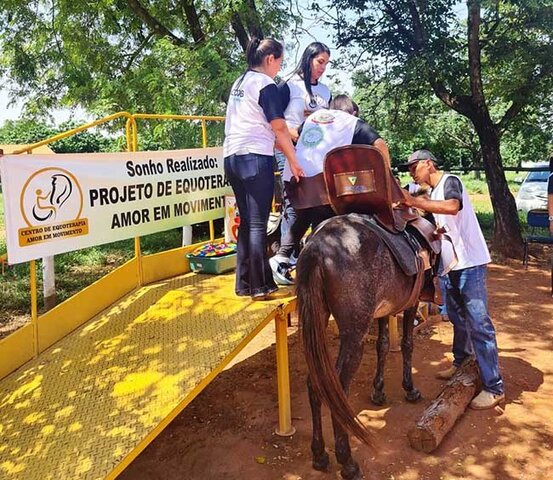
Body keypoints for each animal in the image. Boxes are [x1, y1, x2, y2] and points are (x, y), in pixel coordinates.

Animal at [296, 214, 430, 480]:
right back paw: (347, 462)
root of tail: (316, 247)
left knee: (316, 383)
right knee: (337, 388)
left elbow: (383, 345)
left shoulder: (383, 310)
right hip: (354, 333)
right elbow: (407, 344)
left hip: (318, 322)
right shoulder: (412, 302)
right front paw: (409, 389)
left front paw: (378, 391)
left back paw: (319, 454)